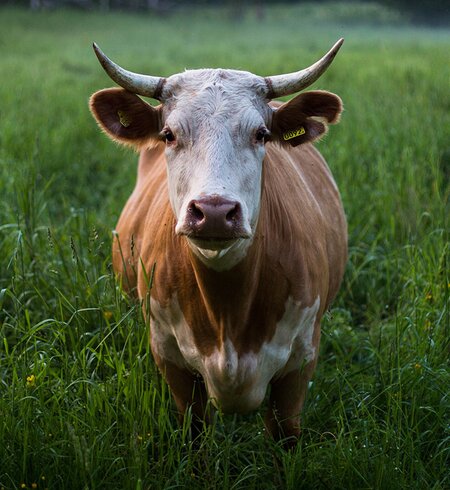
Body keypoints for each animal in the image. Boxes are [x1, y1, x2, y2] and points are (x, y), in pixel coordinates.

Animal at [89, 40, 348, 446]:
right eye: (169, 134)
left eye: (261, 134)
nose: (213, 211)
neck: (228, 311)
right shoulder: (171, 360)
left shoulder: (301, 363)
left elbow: (285, 434)